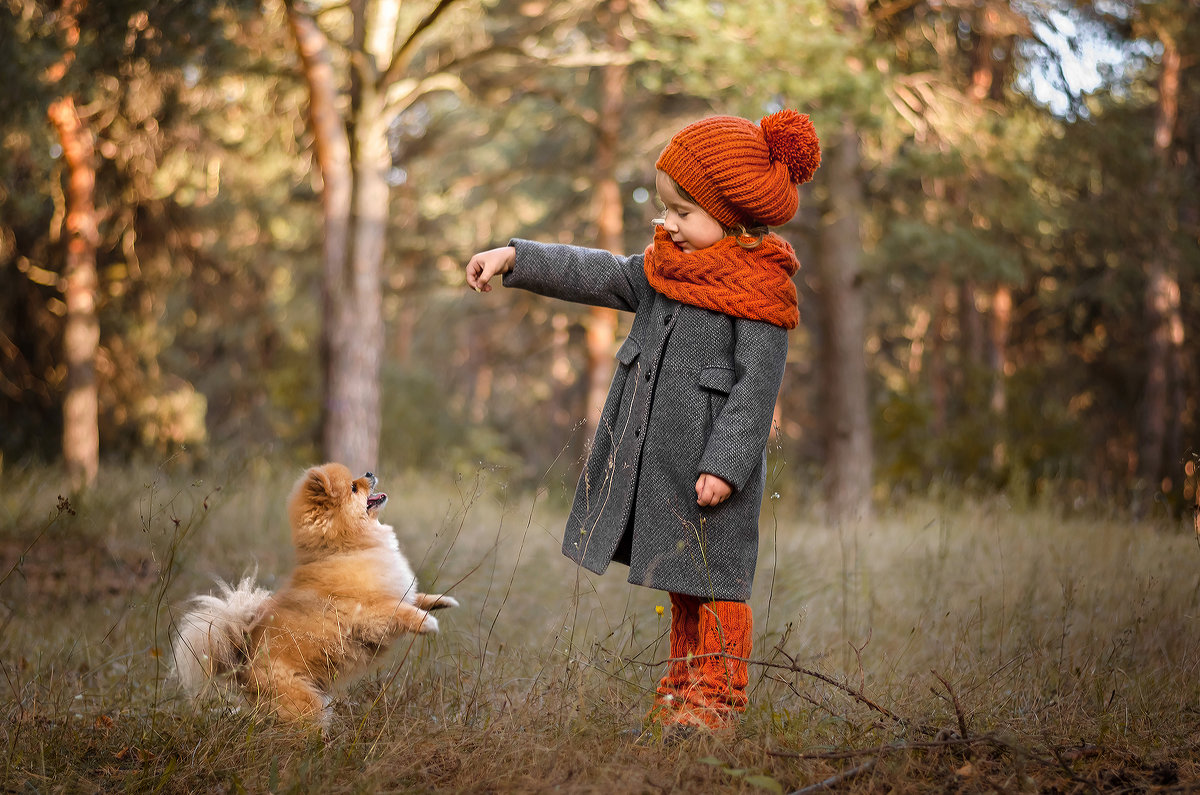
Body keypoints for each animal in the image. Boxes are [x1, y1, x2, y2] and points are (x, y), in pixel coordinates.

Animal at [174, 463, 458, 730]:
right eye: (354, 488)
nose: (369, 473)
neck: (346, 548)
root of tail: (242, 661)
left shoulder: (398, 591)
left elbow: (415, 598)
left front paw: (442, 602)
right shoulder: (367, 616)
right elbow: (401, 611)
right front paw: (427, 623)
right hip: (304, 704)